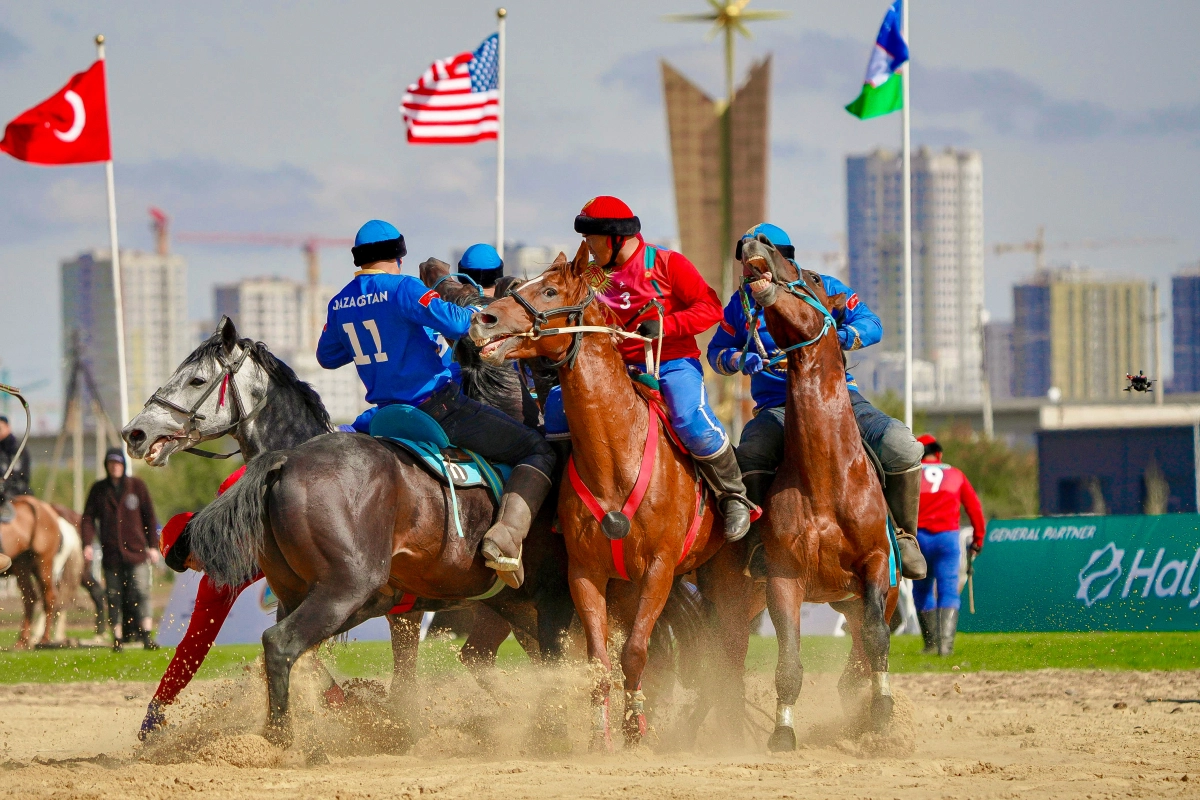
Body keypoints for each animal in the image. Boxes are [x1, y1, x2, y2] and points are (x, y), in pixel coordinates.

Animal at [463, 245, 753, 753]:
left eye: (550, 290)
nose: (484, 319)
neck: (617, 456)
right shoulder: (586, 573)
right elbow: (599, 663)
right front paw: (603, 740)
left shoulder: (659, 569)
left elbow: (635, 655)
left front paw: (636, 734)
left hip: (714, 580)